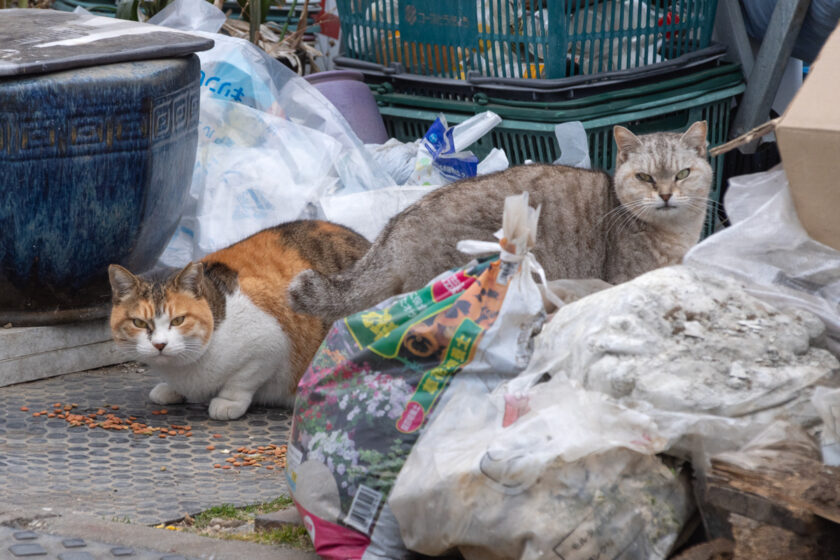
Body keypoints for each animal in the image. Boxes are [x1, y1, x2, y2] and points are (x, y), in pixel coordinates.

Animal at [106, 221, 370, 418]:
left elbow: (242, 380)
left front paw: (227, 402)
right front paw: (172, 390)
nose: (160, 345)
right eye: (139, 323)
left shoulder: (270, 345)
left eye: (178, 320)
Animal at [290, 122, 716, 324]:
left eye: (682, 174)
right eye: (645, 178)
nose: (665, 194)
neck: (675, 234)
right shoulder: (624, 279)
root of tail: (393, 233)